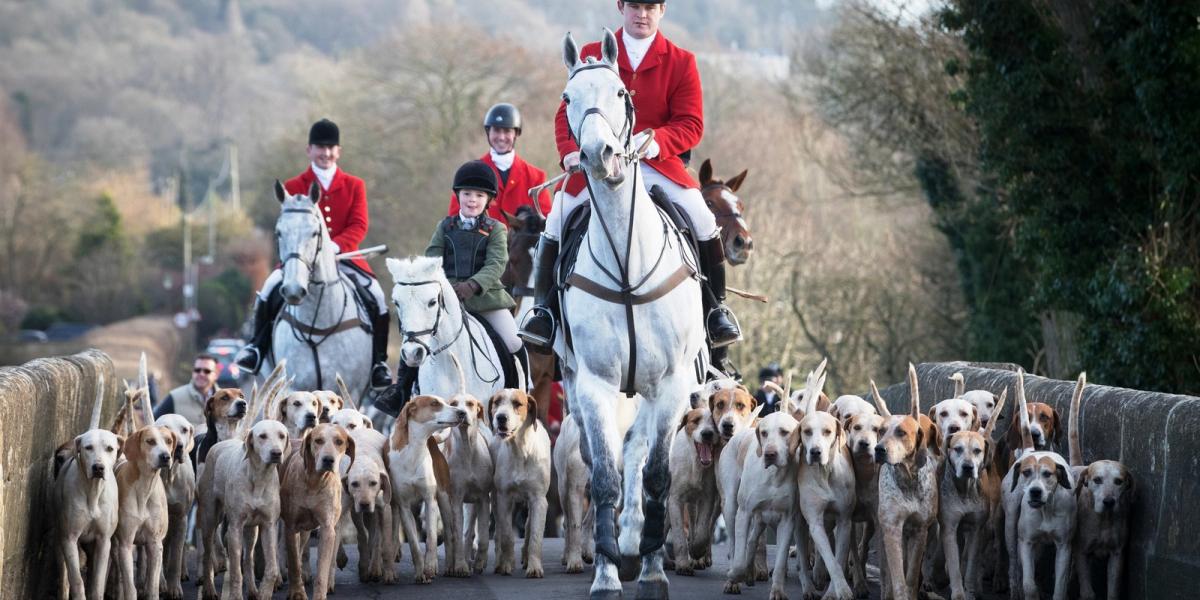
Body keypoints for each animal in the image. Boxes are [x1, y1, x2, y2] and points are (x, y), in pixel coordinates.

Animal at [556, 30, 705, 597]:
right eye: (568, 100)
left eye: (622, 93)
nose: (599, 156)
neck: (625, 261)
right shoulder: (596, 383)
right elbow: (603, 476)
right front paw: (605, 573)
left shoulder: (670, 384)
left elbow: (657, 472)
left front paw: (653, 569)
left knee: (638, 452)